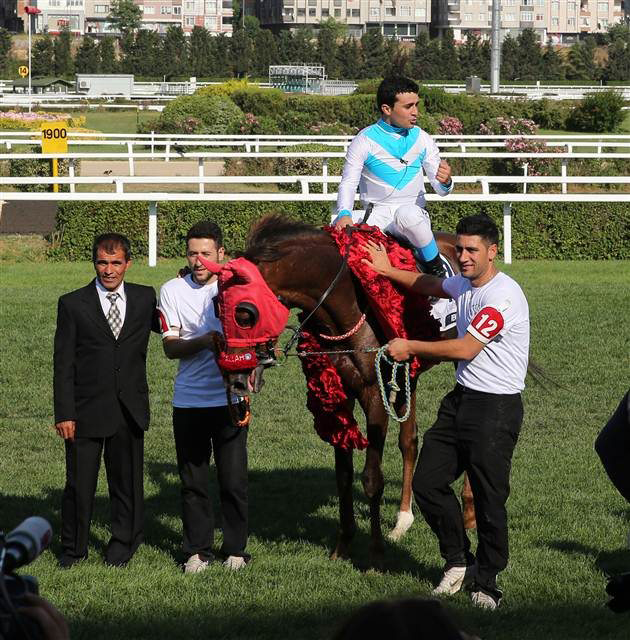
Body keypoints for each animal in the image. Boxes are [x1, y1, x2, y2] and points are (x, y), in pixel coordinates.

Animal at [212, 216, 474, 568]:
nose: (234, 379)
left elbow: (372, 478)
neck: (346, 304)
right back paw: (402, 520)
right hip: (410, 373)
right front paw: (343, 545)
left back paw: (469, 513)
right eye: (216, 308)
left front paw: (375, 556)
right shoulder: (340, 396)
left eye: (245, 313)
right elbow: (344, 475)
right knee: (409, 441)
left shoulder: (374, 394)